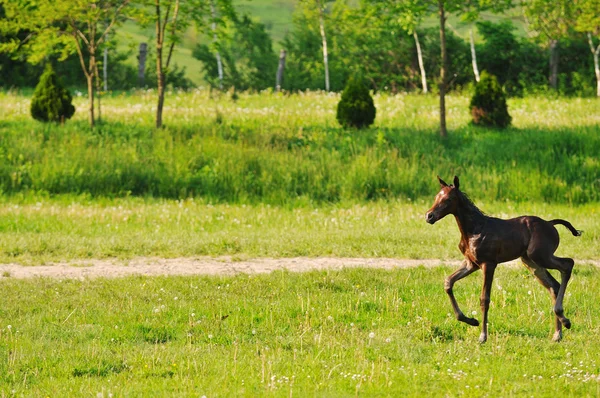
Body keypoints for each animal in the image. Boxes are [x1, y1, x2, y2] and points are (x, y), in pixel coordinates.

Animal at [424, 176, 580, 344]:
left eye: (448, 199)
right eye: (436, 197)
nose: (429, 216)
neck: (474, 230)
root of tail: (550, 223)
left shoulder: (488, 264)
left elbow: (484, 299)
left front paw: (483, 336)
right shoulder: (471, 264)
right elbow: (448, 282)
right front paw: (472, 321)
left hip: (541, 255)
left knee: (568, 264)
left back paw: (565, 320)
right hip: (531, 262)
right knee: (553, 285)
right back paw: (558, 333)